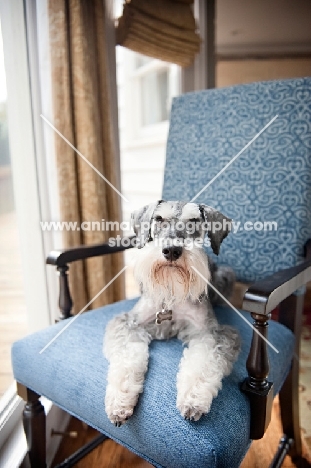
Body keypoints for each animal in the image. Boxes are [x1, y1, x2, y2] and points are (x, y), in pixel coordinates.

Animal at [103, 199, 240, 426]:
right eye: (159, 219)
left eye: (193, 221)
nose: (172, 250)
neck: (172, 291)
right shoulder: (130, 323)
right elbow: (127, 358)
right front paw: (120, 401)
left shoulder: (209, 332)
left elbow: (203, 363)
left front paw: (193, 399)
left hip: (225, 276)